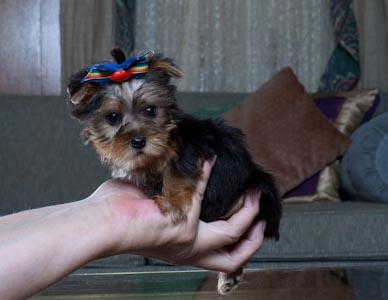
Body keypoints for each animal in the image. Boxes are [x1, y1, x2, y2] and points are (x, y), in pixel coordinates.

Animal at [67, 49, 282, 296]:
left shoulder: (193, 145)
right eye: (112, 117)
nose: (138, 142)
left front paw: (173, 202)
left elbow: (178, 171)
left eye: (151, 110)